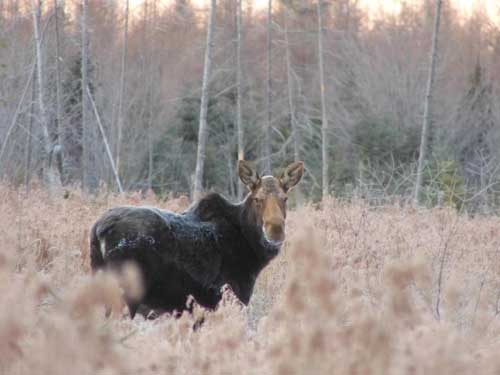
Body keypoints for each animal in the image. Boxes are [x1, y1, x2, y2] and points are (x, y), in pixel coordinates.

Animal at [89, 160, 304, 318]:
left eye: (285, 198)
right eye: (258, 199)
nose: (275, 231)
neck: (251, 251)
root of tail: (99, 229)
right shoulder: (227, 298)